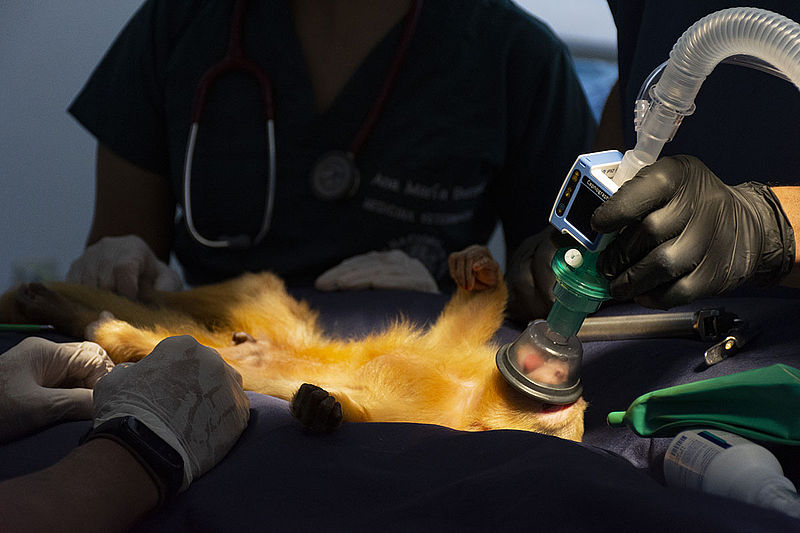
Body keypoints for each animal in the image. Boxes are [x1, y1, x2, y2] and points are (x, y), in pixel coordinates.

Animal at [0, 246, 586, 441]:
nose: (569, 397)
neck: (473, 399)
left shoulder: (440, 422)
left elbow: (363, 412)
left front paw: (322, 409)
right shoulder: (460, 363)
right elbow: (459, 328)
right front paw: (480, 271)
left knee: (156, 342)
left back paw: (94, 325)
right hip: (277, 320)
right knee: (252, 285)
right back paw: (135, 288)